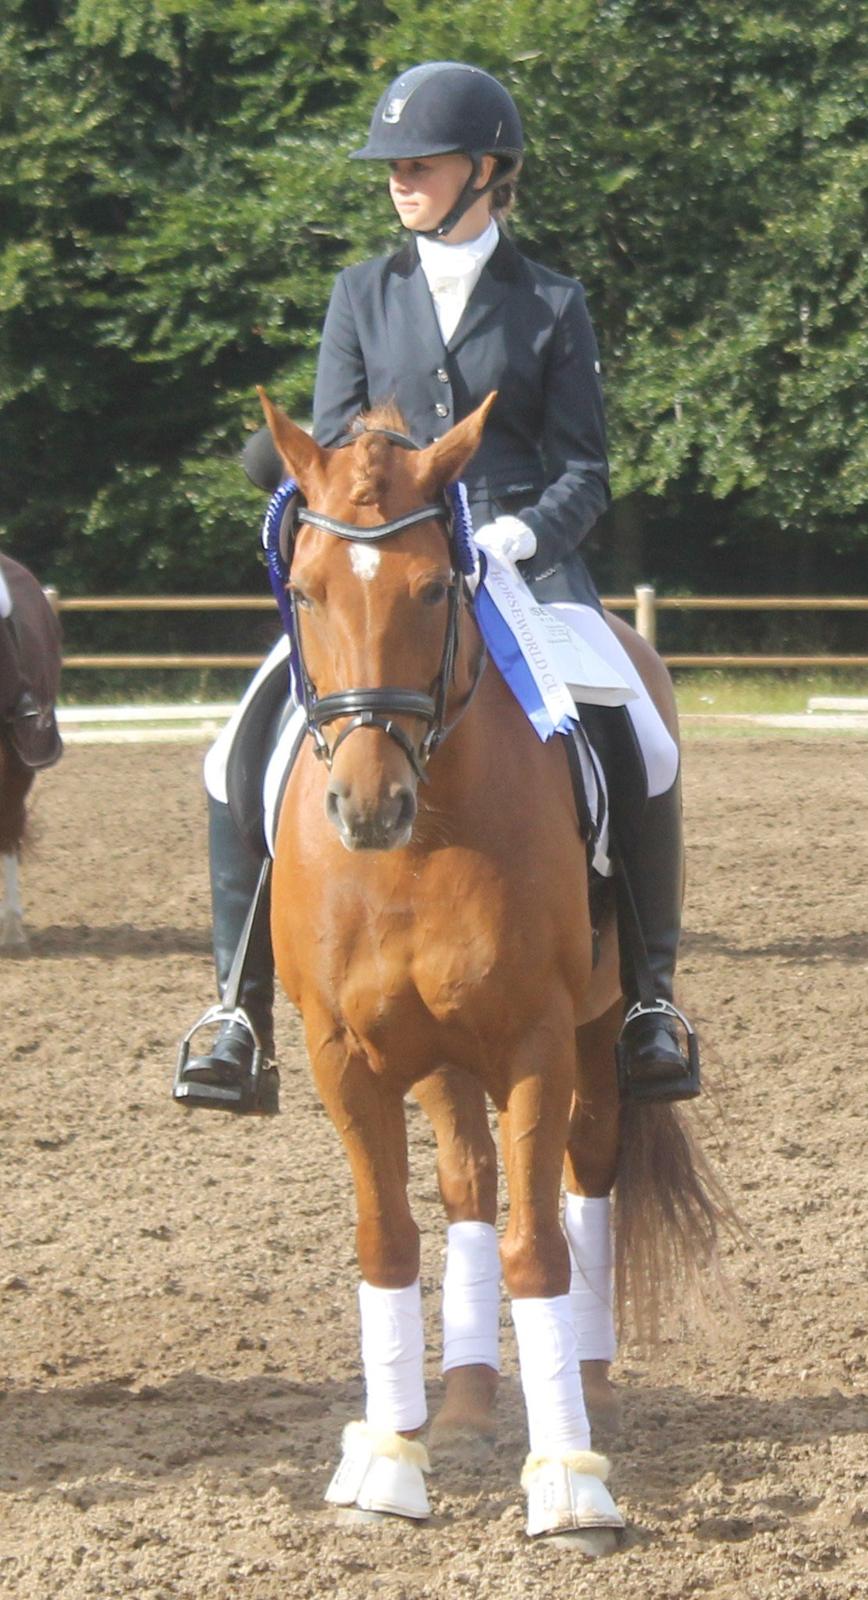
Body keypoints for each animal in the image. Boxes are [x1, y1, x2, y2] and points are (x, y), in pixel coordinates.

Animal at [257, 387, 724, 1551]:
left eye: (436, 587)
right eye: (306, 589)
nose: (367, 806)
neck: (424, 841)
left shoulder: (533, 1042)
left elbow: (538, 1248)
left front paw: (569, 1483)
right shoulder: (345, 1052)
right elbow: (388, 1238)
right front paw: (389, 1461)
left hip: (599, 1033)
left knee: (587, 1177)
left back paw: (588, 1390)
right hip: (436, 1054)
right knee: (466, 1185)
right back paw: (463, 1405)